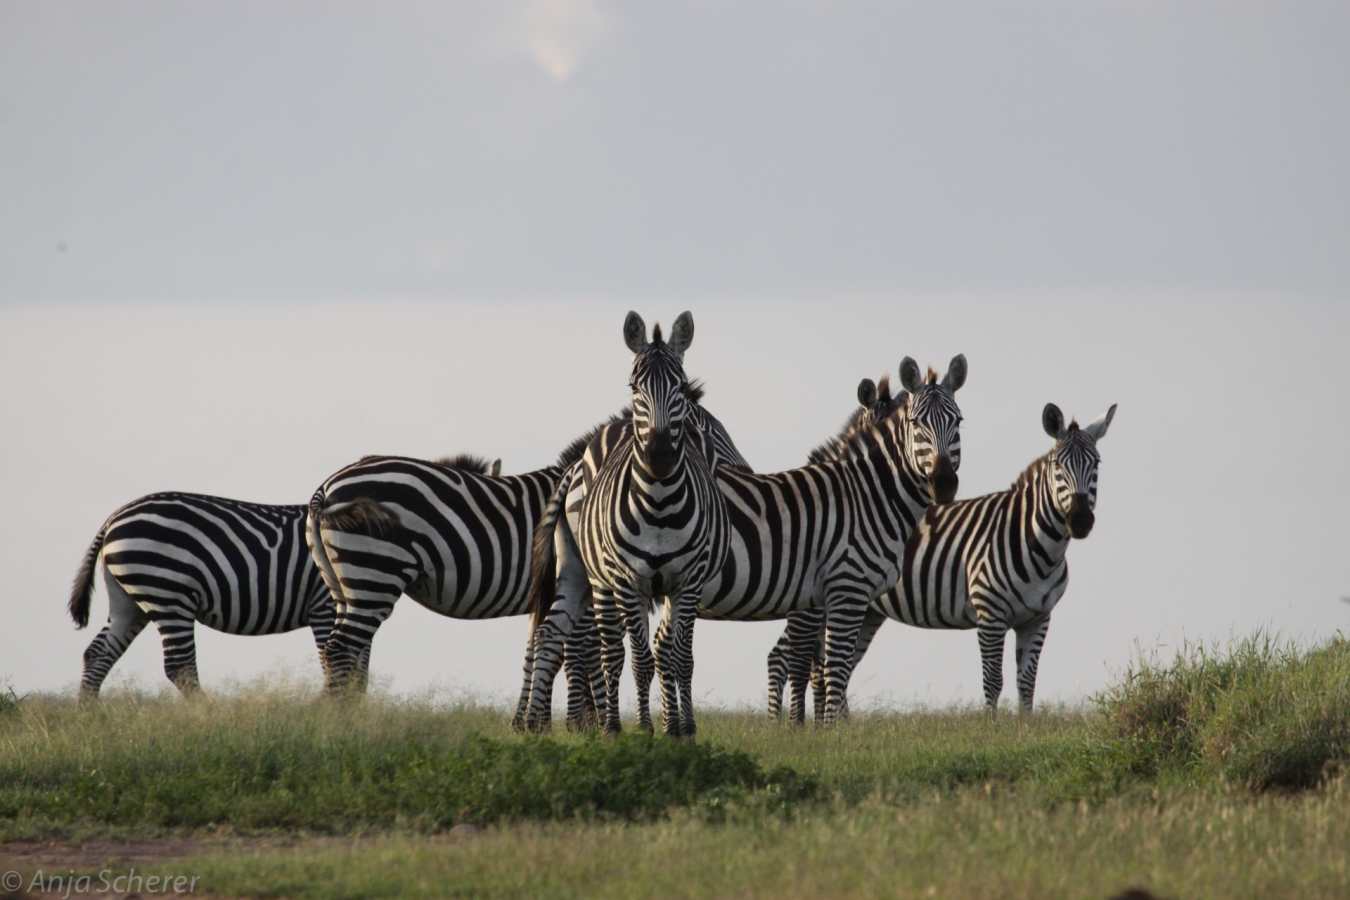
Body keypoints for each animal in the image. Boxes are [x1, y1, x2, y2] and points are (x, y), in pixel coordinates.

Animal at [526, 354, 967, 729]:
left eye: (959, 422)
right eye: (917, 424)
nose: (944, 483)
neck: (867, 495)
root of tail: (577, 469)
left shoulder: (820, 597)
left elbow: (817, 663)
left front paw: (813, 728)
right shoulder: (841, 589)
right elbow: (827, 664)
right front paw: (820, 732)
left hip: (578, 572)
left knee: (552, 636)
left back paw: (540, 727)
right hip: (608, 576)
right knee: (591, 648)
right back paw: (595, 726)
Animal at [767, 401, 1117, 714]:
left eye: (1097, 464)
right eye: (1058, 466)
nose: (1080, 520)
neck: (1037, 544)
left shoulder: (1038, 618)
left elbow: (1026, 683)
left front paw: (1024, 731)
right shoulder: (990, 614)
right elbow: (993, 681)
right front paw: (993, 731)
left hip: (864, 610)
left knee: (833, 668)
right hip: (818, 603)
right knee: (789, 659)